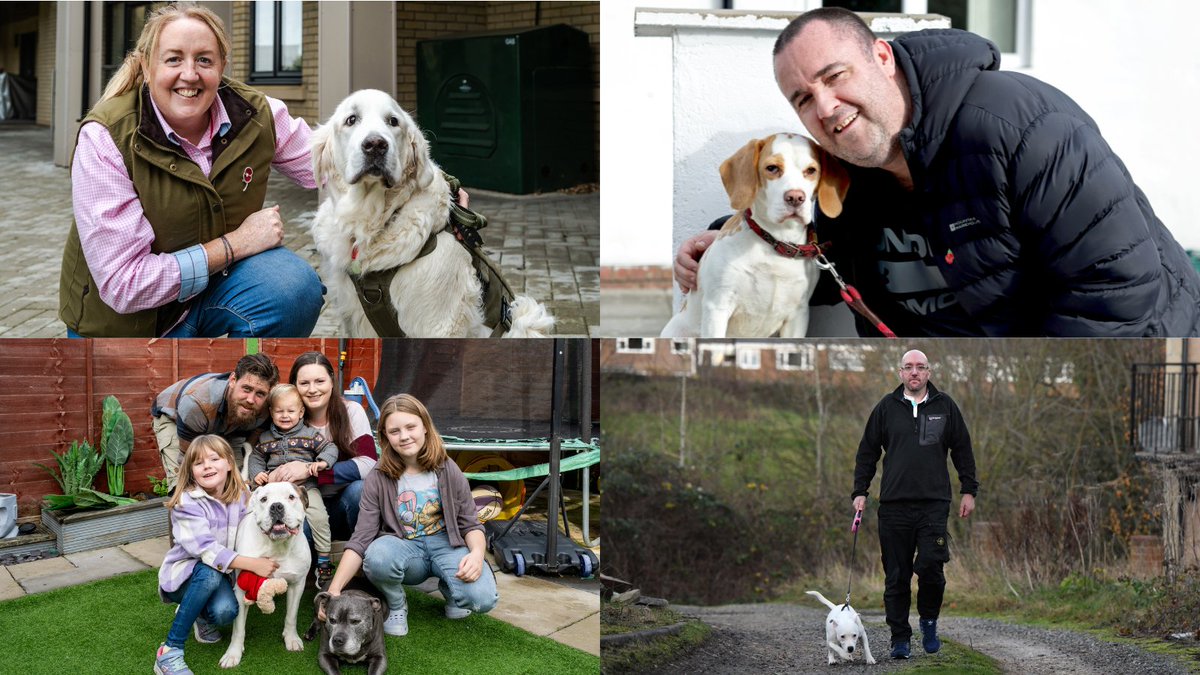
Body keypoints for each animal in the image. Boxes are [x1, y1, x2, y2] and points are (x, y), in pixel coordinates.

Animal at [662, 132, 849, 336]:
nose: (795, 198)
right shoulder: (717, 307)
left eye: (811, 170)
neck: (777, 242)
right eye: (772, 168)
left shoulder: (798, 316)